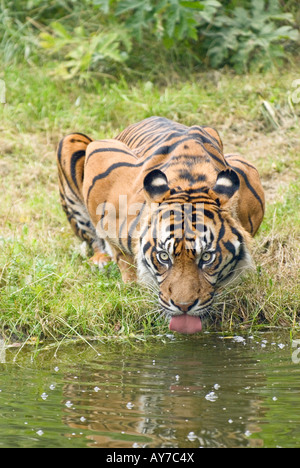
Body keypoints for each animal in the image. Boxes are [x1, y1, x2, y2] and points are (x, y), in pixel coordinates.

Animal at [57, 118, 264, 336]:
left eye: (207, 257)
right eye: (164, 257)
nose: (183, 306)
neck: (189, 181)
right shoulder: (100, 158)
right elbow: (120, 253)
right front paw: (132, 285)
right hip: (71, 141)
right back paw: (100, 260)